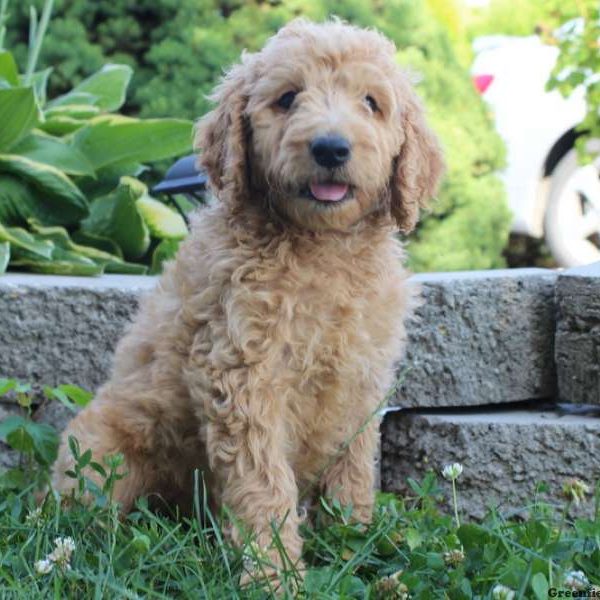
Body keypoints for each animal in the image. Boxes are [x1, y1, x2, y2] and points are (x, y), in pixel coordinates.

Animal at [52, 19, 440, 576]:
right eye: (287, 98)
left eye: (371, 102)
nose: (330, 148)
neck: (323, 247)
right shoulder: (242, 373)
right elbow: (264, 482)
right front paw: (273, 572)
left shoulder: (361, 378)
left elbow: (352, 470)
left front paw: (354, 546)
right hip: (100, 455)